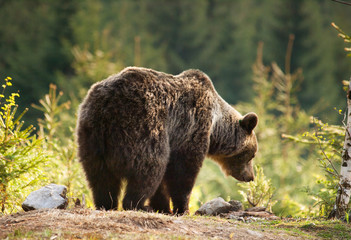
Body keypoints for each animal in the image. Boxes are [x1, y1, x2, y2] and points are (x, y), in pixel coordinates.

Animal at [77, 66, 258, 214]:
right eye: (252, 154)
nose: (251, 177)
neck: (215, 127)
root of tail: (108, 102)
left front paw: (164, 207)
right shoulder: (191, 128)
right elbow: (183, 170)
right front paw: (181, 208)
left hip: (92, 135)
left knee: (99, 176)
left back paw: (106, 204)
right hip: (142, 126)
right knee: (148, 169)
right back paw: (139, 205)